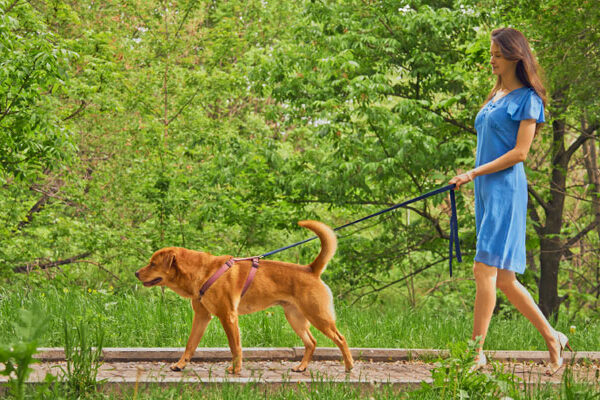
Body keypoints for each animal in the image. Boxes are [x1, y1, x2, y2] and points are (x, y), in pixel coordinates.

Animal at [134, 220, 354, 374]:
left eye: (153, 264)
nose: (136, 273)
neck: (202, 273)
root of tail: (311, 269)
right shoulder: (202, 317)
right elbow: (190, 344)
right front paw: (180, 365)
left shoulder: (228, 317)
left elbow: (235, 347)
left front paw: (236, 370)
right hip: (295, 318)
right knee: (311, 342)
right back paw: (301, 367)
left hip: (318, 316)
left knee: (340, 338)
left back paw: (349, 365)